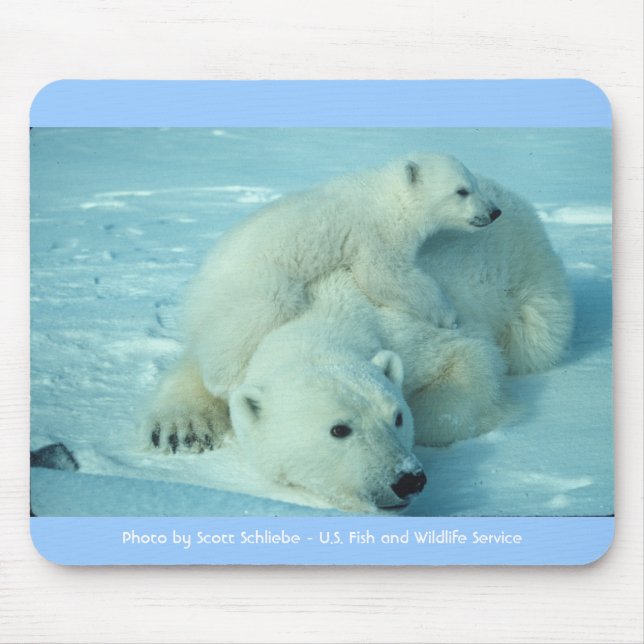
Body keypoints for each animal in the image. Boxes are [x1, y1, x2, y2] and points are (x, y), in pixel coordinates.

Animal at [185, 153, 502, 399]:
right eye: (462, 190)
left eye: (474, 184)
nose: (494, 212)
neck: (389, 198)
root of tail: (197, 290)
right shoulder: (376, 233)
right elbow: (383, 275)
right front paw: (448, 315)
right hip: (256, 281)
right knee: (255, 317)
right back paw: (227, 382)